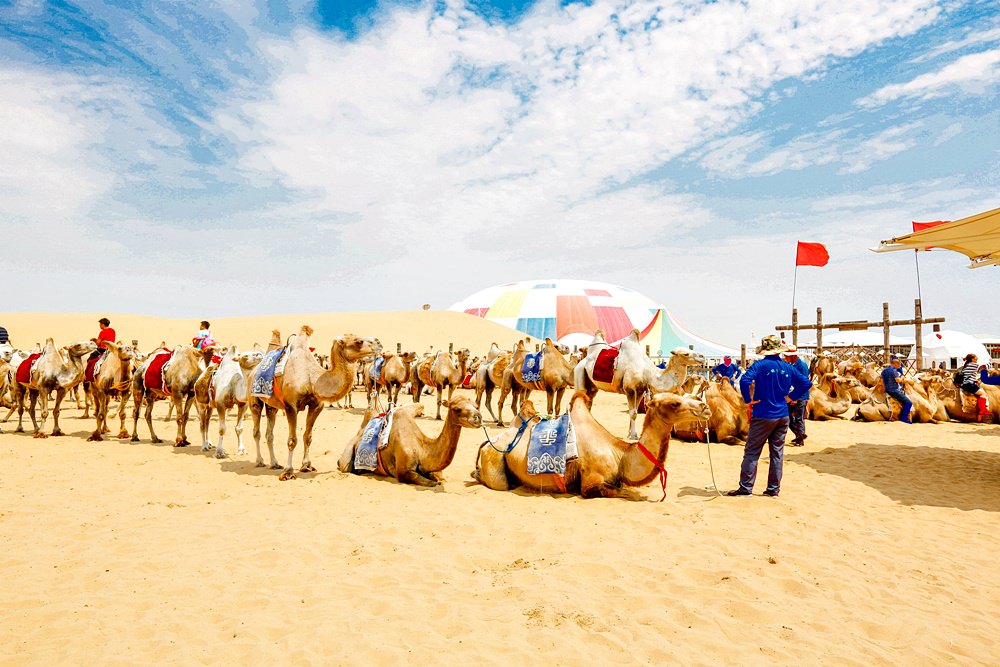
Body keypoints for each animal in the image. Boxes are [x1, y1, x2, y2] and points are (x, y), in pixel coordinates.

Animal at [248, 324, 376, 478]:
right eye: (358, 341)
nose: (378, 343)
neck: (312, 379)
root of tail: (253, 371)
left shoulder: (316, 406)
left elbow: (307, 437)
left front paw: (306, 466)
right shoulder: (291, 406)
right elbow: (292, 440)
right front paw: (288, 471)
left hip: (271, 405)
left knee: (269, 433)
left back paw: (274, 463)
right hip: (254, 400)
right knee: (256, 431)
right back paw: (260, 461)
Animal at [338, 396, 482, 486]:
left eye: (476, 406)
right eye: (457, 409)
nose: (478, 417)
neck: (422, 449)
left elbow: (437, 477)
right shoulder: (403, 472)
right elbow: (430, 482)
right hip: (347, 457)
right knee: (344, 466)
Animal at [472, 392, 708, 500]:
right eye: (675, 403)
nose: (704, 407)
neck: (620, 455)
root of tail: (487, 443)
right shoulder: (590, 483)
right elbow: (622, 492)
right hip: (495, 459)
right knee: (499, 483)